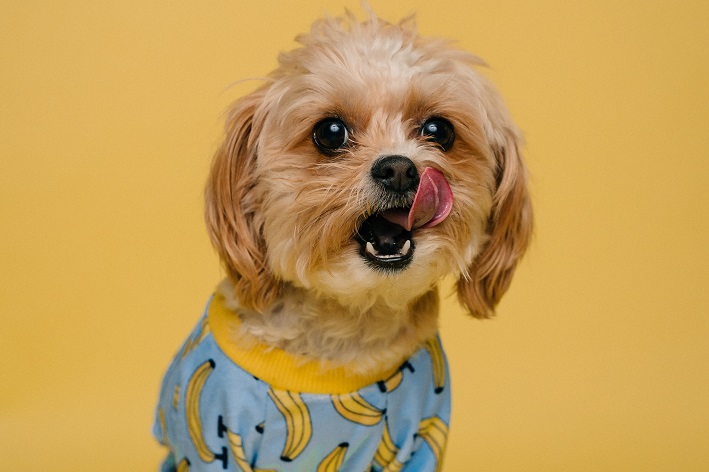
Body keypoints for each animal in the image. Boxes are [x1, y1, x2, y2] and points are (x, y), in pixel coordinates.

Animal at [155, 9, 532, 470]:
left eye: (439, 130)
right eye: (331, 132)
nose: (400, 169)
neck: (347, 329)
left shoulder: (421, 437)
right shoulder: (214, 437)